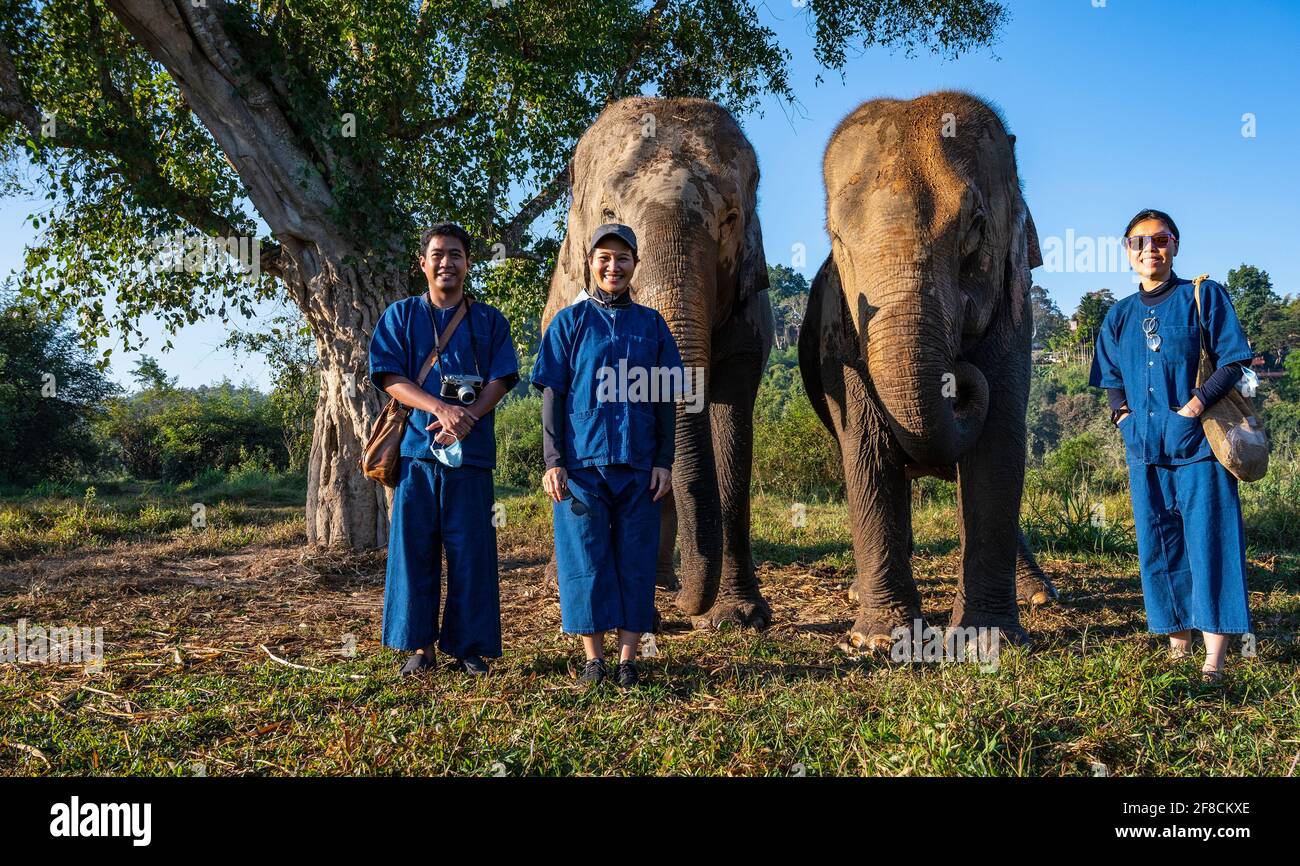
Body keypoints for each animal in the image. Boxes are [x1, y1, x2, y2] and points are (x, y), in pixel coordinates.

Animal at [543, 96, 774, 626]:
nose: (687, 609)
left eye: (731, 218)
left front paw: (741, 616)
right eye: (609, 212)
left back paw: (664, 583)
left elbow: (733, 425)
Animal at [795, 92, 1060, 647]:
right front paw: (880, 639)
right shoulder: (839, 330)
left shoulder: (1015, 310)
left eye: (976, 229)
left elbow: (1000, 440)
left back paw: (1040, 594)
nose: (960, 376)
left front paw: (986, 640)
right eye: (838, 239)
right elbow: (866, 448)